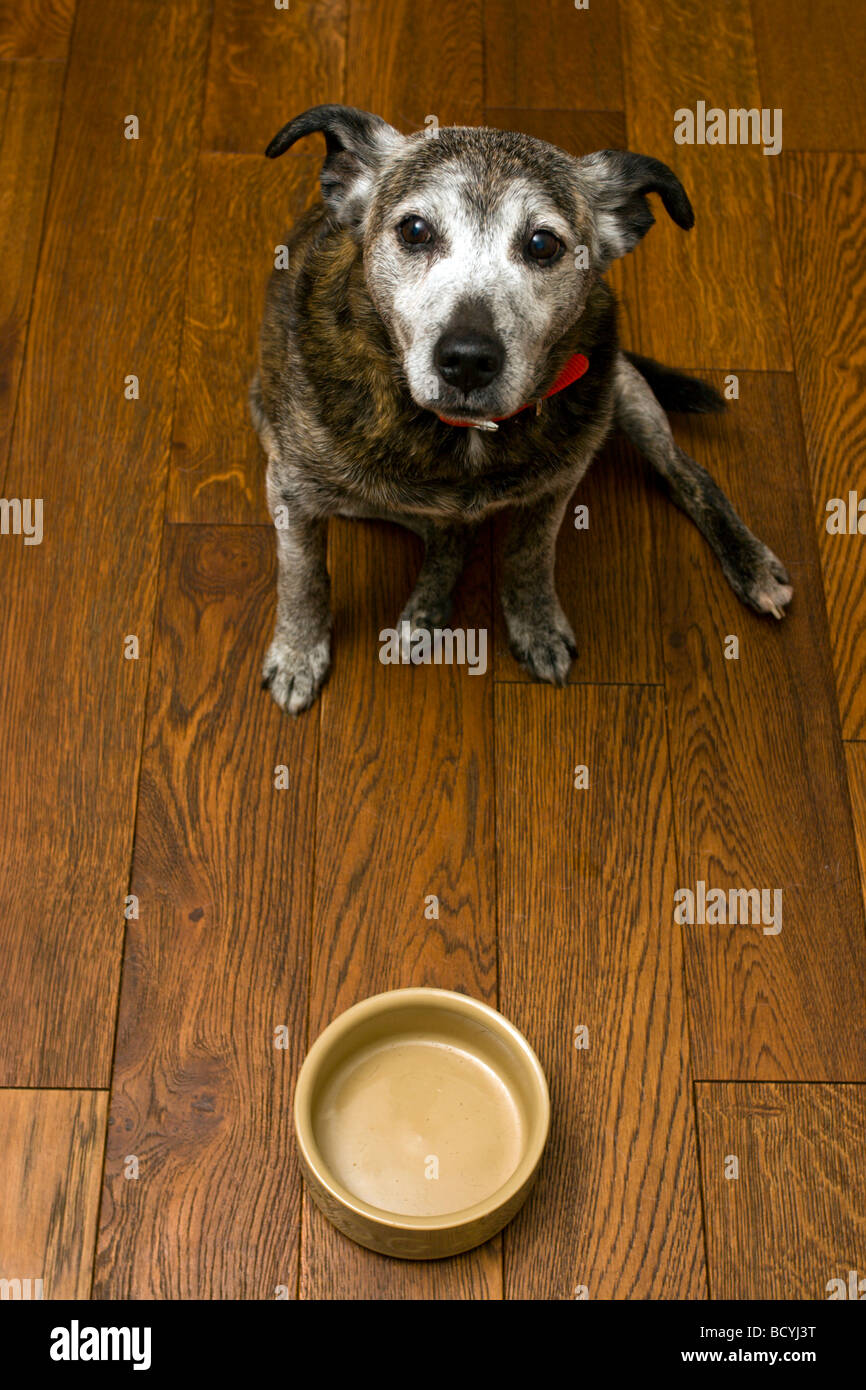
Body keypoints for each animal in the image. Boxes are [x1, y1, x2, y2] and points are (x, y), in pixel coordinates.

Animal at [250, 107, 795, 711]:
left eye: (542, 244)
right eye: (414, 231)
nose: (467, 360)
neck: (463, 435)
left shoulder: (558, 484)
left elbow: (530, 556)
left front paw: (536, 625)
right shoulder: (293, 489)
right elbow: (303, 576)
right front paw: (299, 653)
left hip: (619, 389)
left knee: (688, 472)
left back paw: (750, 564)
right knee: (445, 531)